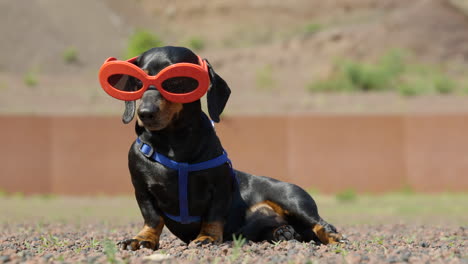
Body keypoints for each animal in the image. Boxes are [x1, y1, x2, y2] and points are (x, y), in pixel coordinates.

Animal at [115, 46, 346, 252]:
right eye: (138, 82)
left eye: (174, 81)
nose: (145, 113)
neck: (174, 145)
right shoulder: (142, 190)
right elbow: (152, 218)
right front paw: (142, 239)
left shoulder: (219, 187)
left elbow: (213, 216)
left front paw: (207, 237)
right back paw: (283, 232)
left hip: (293, 200)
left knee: (321, 224)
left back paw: (334, 238)